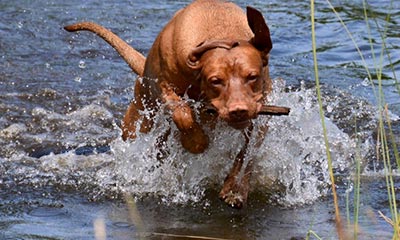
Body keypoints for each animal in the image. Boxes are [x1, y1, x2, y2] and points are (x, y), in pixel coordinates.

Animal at [65, 0, 272, 207]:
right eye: (215, 80)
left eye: (252, 76)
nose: (239, 110)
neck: (220, 32)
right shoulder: (163, 87)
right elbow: (182, 113)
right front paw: (195, 142)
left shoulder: (259, 118)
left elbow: (248, 153)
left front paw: (235, 189)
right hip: (138, 120)